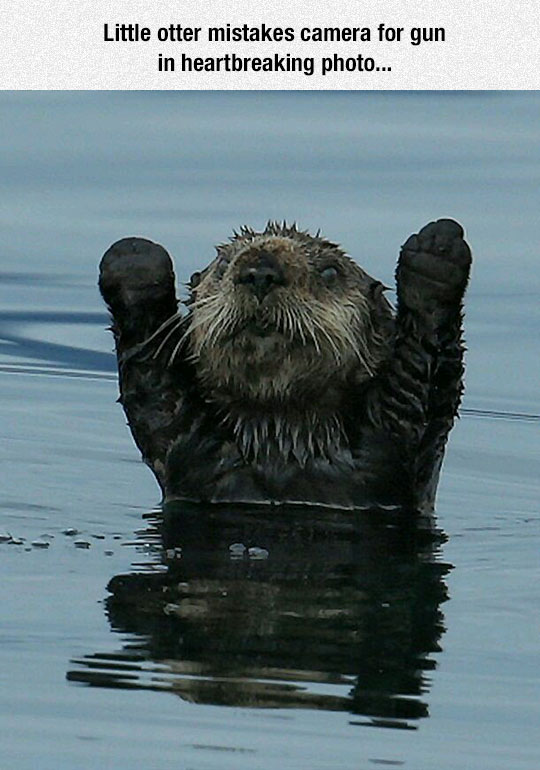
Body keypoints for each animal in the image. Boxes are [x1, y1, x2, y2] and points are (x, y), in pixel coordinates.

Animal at [99, 219, 471, 512]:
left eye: (330, 271)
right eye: (223, 264)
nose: (260, 272)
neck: (282, 439)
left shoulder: (400, 436)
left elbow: (424, 374)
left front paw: (436, 250)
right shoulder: (186, 441)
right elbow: (155, 390)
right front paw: (135, 260)